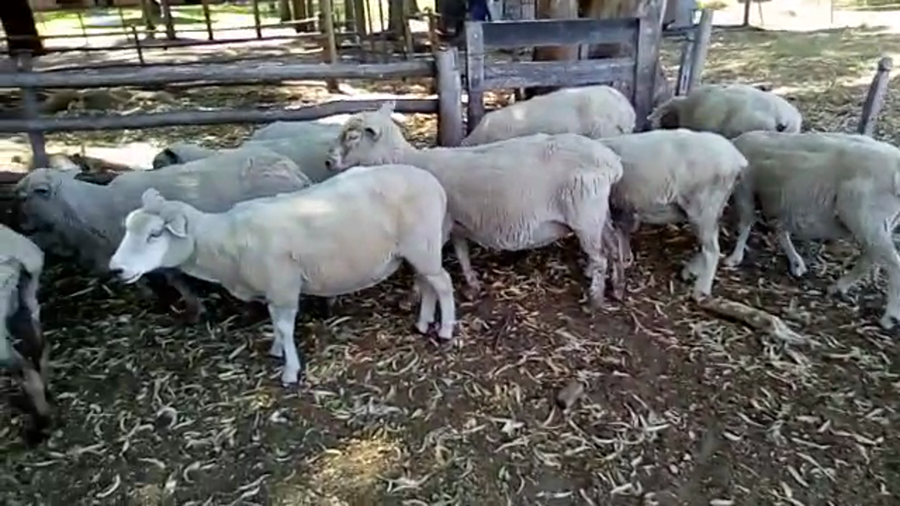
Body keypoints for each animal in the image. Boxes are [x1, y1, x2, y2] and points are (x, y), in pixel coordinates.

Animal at [15, 147, 312, 323]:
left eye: (26, 195)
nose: (22, 227)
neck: (96, 209)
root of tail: (295, 171)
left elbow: (176, 281)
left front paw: (193, 310)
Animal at [107, 164, 457, 385]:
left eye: (155, 234)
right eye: (127, 226)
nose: (116, 269)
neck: (226, 241)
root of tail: (435, 184)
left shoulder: (283, 285)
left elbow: (286, 327)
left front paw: (290, 371)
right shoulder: (273, 289)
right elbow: (276, 324)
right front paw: (276, 349)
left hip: (422, 245)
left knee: (443, 283)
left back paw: (445, 329)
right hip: (420, 248)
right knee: (428, 283)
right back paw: (423, 322)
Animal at [325, 101, 625, 307]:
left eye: (352, 136)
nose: (328, 161)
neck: (410, 162)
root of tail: (612, 163)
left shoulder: (435, 229)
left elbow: (424, 269)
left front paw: (411, 298)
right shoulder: (456, 222)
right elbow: (462, 253)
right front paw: (472, 285)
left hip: (585, 216)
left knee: (600, 256)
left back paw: (596, 298)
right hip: (598, 214)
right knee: (613, 243)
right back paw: (617, 286)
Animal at [597, 129, 748, 300]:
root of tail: (737, 159)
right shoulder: (622, 206)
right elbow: (622, 232)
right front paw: (626, 258)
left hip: (703, 205)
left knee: (712, 250)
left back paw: (701, 291)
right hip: (714, 205)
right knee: (709, 241)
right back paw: (691, 271)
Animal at [724, 131, 900, 329]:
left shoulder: (745, 189)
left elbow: (746, 222)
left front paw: (734, 258)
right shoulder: (781, 201)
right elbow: (780, 229)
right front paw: (796, 263)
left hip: (866, 217)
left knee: (893, 262)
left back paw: (890, 317)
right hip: (882, 222)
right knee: (870, 257)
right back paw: (839, 287)